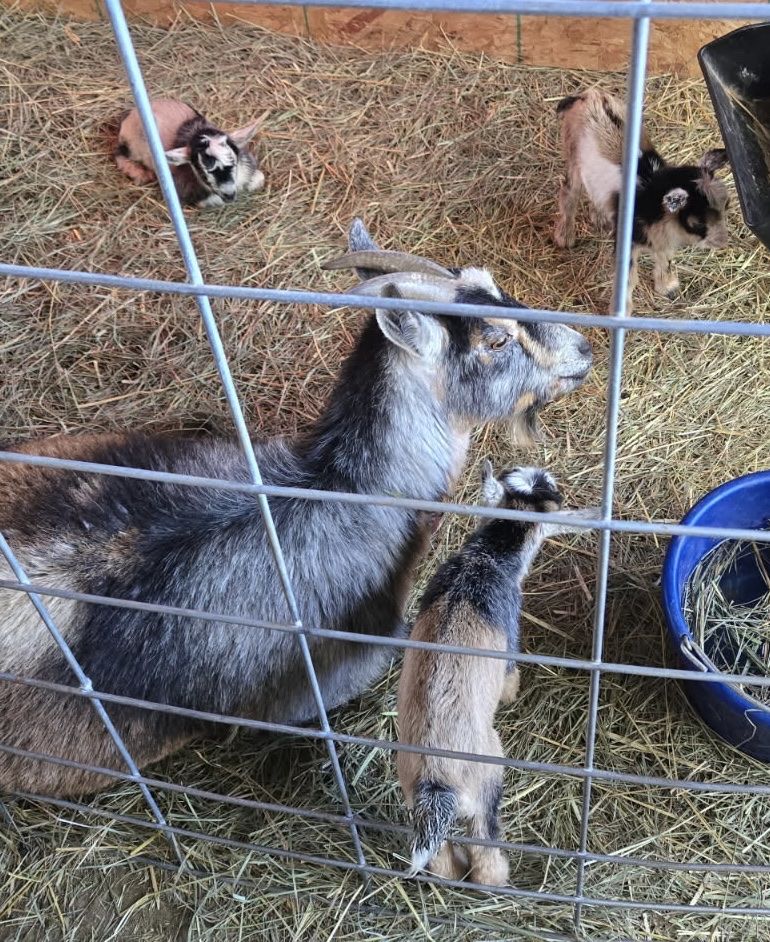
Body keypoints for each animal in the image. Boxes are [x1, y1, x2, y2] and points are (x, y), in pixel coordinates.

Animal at [114, 99, 265, 207]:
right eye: (202, 174)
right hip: (131, 146)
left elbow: (260, 178)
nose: (229, 195)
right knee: (118, 154)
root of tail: (130, 115)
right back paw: (141, 174)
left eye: (233, 164)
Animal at [397, 462, 592, 885]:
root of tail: (438, 780)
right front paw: (511, 694)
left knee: (439, 854)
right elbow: (510, 673)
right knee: (484, 844)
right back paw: (497, 878)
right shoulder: (510, 633)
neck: (484, 559)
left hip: (412, 796)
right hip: (488, 781)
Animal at [553, 88, 730, 308]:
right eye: (697, 222)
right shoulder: (628, 243)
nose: (722, 242)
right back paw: (565, 237)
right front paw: (622, 309)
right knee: (569, 194)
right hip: (573, 156)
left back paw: (600, 219)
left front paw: (667, 287)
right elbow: (629, 279)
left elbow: (665, 257)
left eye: (726, 205)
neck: (648, 194)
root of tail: (590, 95)